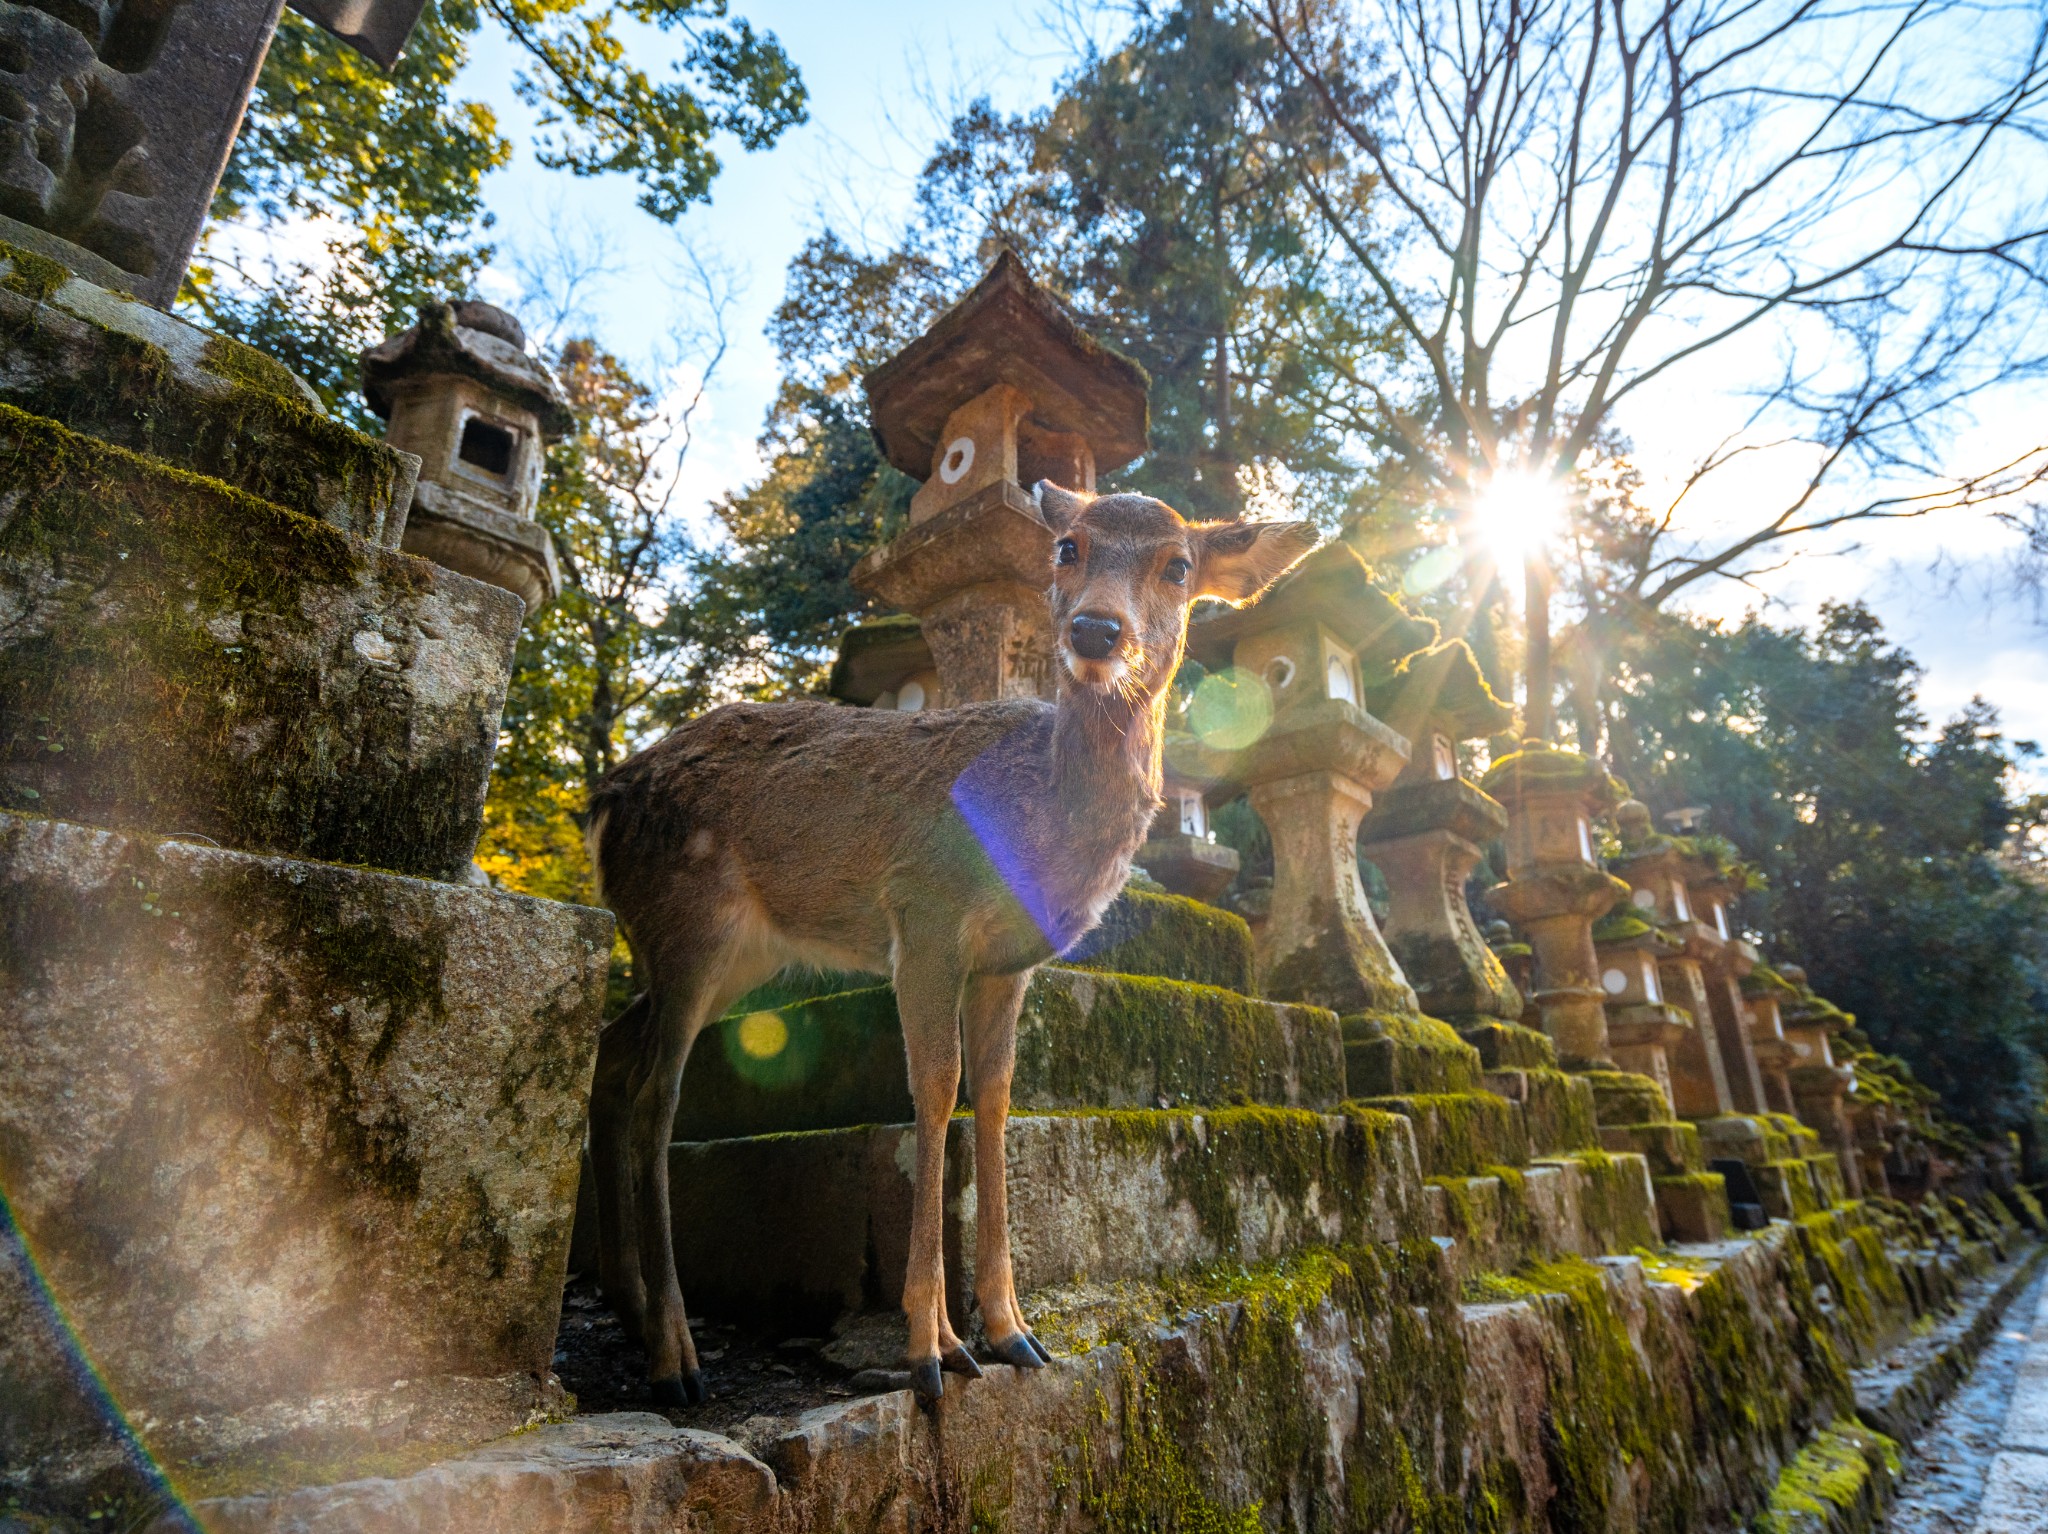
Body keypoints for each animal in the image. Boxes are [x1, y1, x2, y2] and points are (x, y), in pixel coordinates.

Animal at [581, 479, 1310, 1400]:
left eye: (1179, 565)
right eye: (1066, 547)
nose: (1095, 630)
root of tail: (602, 804)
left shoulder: (1007, 964)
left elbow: (994, 1098)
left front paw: (1013, 1333)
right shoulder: (923, 917)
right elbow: (933, 1091)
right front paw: (930, 1349)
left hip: (731, 955)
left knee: (615, 1054)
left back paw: (632, 1304)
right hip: (688, 923)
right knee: (657, 1095)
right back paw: (676, 1356)